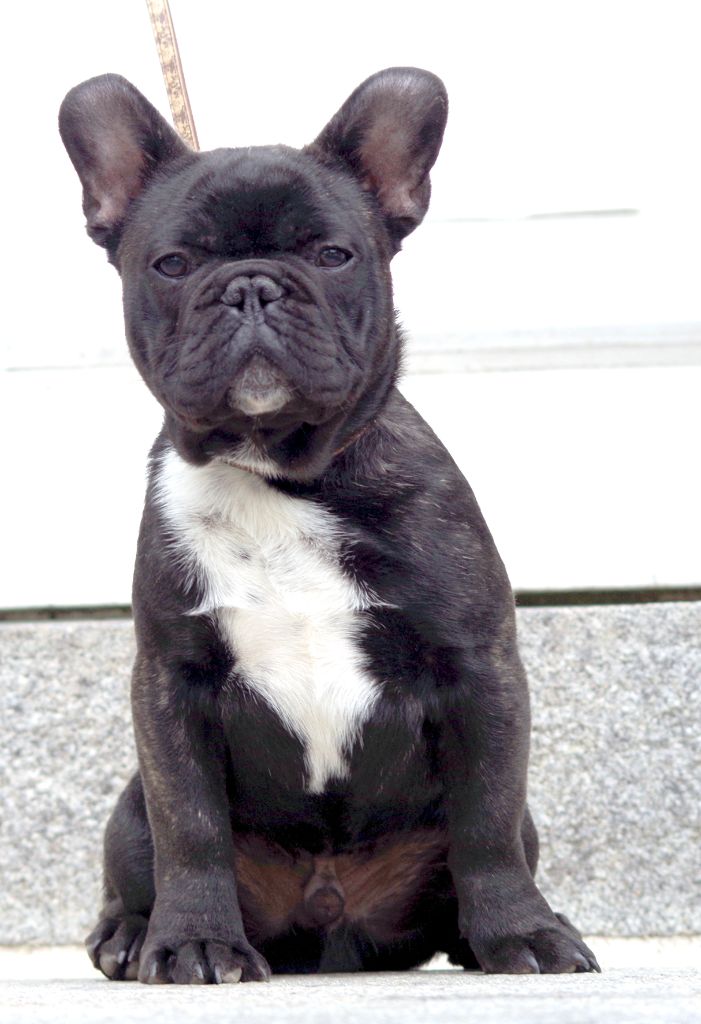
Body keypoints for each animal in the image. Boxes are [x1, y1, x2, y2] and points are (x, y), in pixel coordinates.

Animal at [59, 68, 598, 984]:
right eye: (172, 264)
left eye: (331, 255)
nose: (251, 286)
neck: (278, 474)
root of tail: (330, 922)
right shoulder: (171, 684)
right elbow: (189, 827)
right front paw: (193, 942)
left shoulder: (479, 670)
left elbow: (487, 824)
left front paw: (523, 934)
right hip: (127, 807)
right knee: (142, 853)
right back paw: (132, 936)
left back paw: (486, 936)